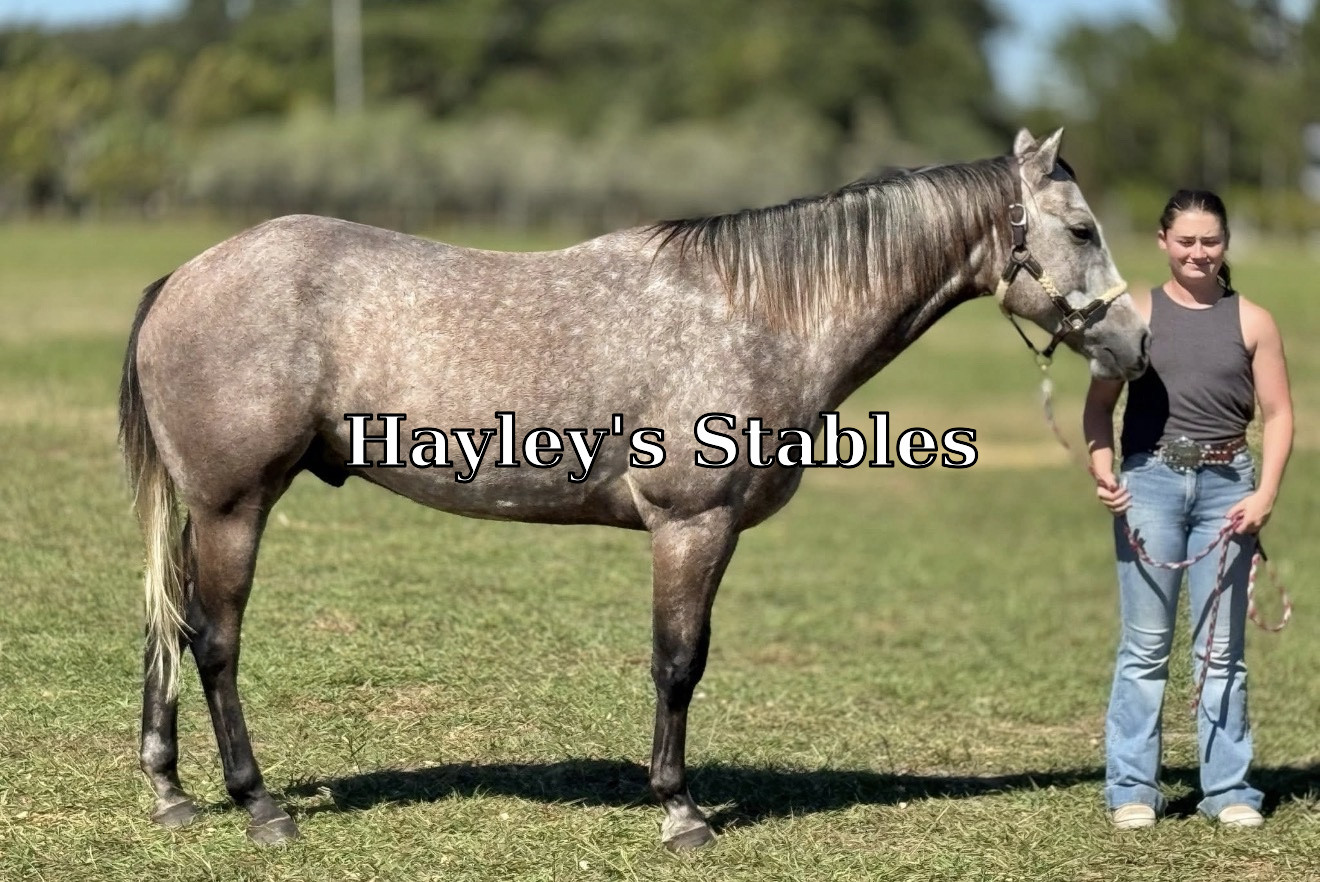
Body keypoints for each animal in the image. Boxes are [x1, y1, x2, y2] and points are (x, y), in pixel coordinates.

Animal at [119, 128, 1149, 849]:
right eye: (1082, 229)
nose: (1136, 344)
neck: (760, 313)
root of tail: (184, 277)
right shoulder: (693, 526)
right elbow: (678, 662)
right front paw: (680, 810)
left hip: (200, 511)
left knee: (168, 624)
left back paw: (170, 792)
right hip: (234, 507)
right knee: (214, 642)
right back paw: (259, 806)